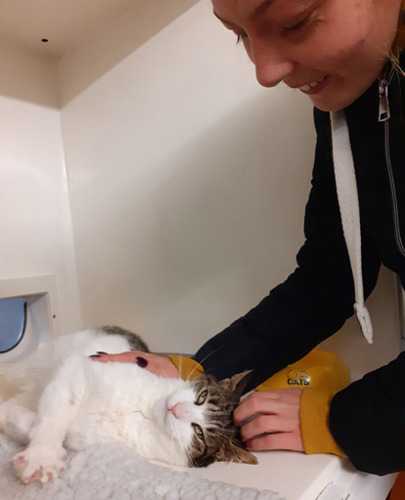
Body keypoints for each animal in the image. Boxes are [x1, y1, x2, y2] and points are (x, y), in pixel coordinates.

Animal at [0, 326, 256, 486]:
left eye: (198, 432)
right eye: (201, 397)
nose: (177, 409)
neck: (144, 410)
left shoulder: (83, 437)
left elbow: (31, 418)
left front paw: (19, 422)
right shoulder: (80, 369)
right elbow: (54, 414)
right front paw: (42, 455)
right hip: (37, 363)